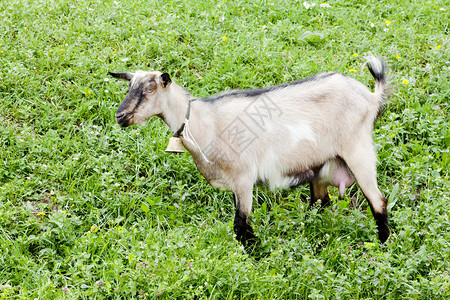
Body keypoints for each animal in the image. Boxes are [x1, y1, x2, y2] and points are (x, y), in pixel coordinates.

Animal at [110, 57, 390, 250]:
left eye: (149, 89)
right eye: (128, 88)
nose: (120, 116)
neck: (203, 122)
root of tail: (371, 97)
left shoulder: (243, 178)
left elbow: (240, 225)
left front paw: (255, 254)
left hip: (358, 149)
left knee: (378, 201)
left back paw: (382, 245)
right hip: (322, 165)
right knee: (321, 201)